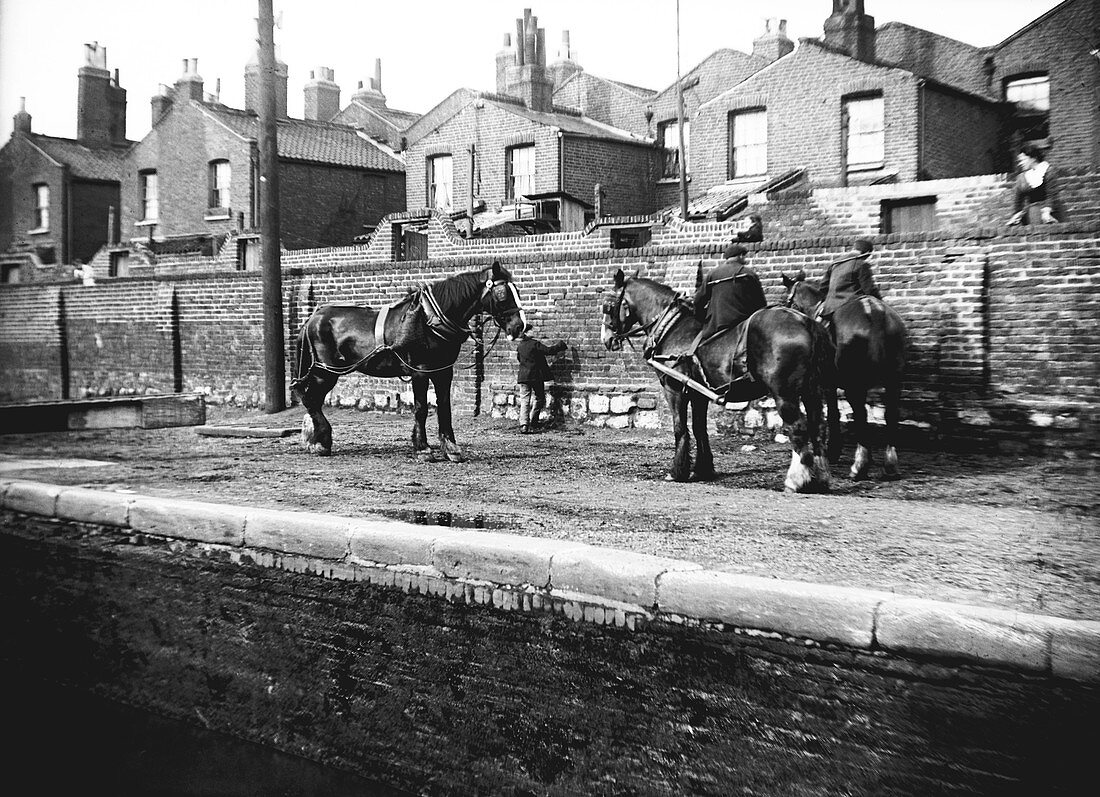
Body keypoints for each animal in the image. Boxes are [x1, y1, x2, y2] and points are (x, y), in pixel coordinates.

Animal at [290, 261, 525, 459]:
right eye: (503, 293)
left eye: (517, 291)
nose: (520, 326)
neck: (429, 319)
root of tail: (312, 319)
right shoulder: (420, 371)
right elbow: (421, 409)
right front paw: (422, 448)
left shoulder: (443, 371)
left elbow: (445, 407)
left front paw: (450, 448)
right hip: (325, 371)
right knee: (310, 400)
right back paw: (320, 441)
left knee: (314, 400)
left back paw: (317, 440)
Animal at [602, 267, 831, 490]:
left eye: (608, 305)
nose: (607, 339)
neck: (672, 327)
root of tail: (804, 321)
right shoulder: (698, 394)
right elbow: (699, 428)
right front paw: (703, 469)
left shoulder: (674, 389)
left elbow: (680, 428)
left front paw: (677, 471)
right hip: (812, 391)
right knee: (818, 427)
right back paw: (821, 476)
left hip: (785, 394)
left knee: (798, 428)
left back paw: (797, 479)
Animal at [783, 270, 910, 479]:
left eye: (788, 300)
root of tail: (876, 314)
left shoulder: (827, 384)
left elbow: (833, 413)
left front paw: (833, 450)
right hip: (894, 381)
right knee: (890, 414)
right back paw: (890, 465)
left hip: (855, 385)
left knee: (861, 414)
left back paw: (860, 466)